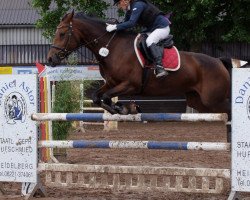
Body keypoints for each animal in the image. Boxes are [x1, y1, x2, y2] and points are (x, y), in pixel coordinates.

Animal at [46, 10, 244, 117]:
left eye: (62, 34)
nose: (50, 59)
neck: (111, 47)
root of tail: (218, 61)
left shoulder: (131, 84)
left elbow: (107, 96)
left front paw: (123, 108)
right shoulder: (112, 83)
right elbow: (97, 96)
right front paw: (121, 108)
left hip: (213, 99)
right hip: (199, 101)